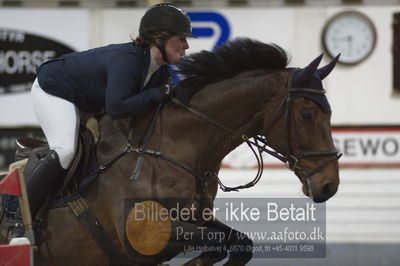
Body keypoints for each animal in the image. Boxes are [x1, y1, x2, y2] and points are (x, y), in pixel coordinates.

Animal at [2, 38, 340, 266]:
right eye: (307, 114)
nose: (329, 186)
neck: (174, 147)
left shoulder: (197, 218)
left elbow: (237, 241)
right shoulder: (141, 233)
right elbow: (219, 240)